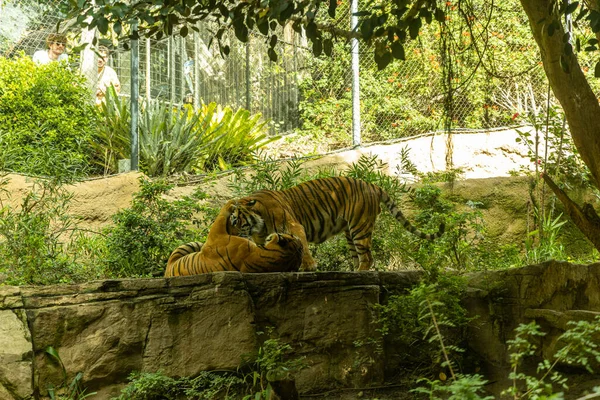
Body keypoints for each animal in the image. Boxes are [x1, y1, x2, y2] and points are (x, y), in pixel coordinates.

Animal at [164, 200, 304, 278]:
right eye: (294, 236)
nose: (292, 233)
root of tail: (167, 271)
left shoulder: (216, 236)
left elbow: (221, 216)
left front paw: (232, 204)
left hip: (187, 246)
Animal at [230, 177, 446, 272]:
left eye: (236, 220)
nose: (230, 234)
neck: (258, 225)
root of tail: (372, 184)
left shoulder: (293, 226)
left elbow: (304, 247)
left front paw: (308, 266)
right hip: (350, 232)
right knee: (358, 257)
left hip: (360, 227)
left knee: (368, 258)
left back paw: (359, 273)